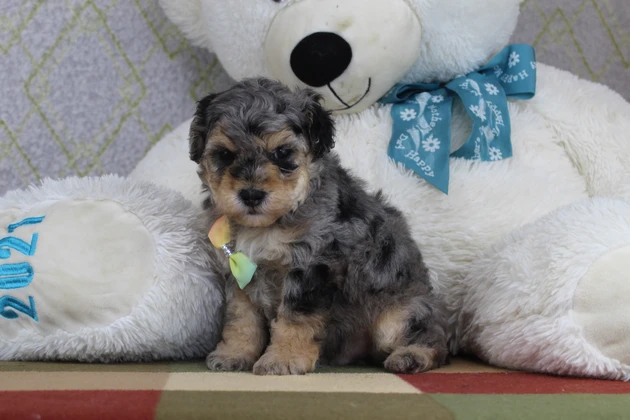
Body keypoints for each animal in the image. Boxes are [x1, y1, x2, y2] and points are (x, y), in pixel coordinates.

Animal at [191, 77, 450, 376]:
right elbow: (241, 319)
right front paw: (234, 354)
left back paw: (411, 356)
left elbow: (295, 319)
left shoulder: (311, 267)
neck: (268, 225)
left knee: (434, 341)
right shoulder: (239, 275)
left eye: (282, 153)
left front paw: (283, 359)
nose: (251, 195)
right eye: (224, 154)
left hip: (398, 316)